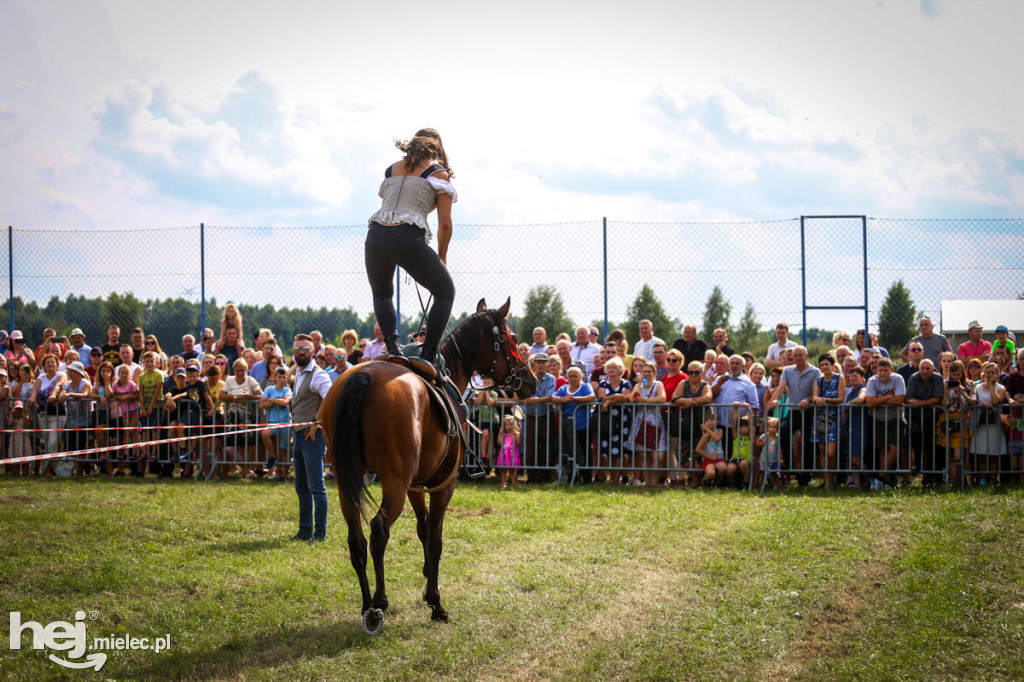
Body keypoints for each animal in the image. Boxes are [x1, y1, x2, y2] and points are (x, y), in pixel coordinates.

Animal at [321, 296, 540, 630]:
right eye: (513, 338)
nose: (531, 380)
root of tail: (361, 377)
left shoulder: (416, 484)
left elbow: (423, 530)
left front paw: (426, 580)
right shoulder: (441, 484)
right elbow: (436, 538)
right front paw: (435, 601)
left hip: (350, 481)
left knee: (356, 539)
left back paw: (365, 604)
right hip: (394, 482)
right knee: (379, 530)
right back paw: (378, 604)